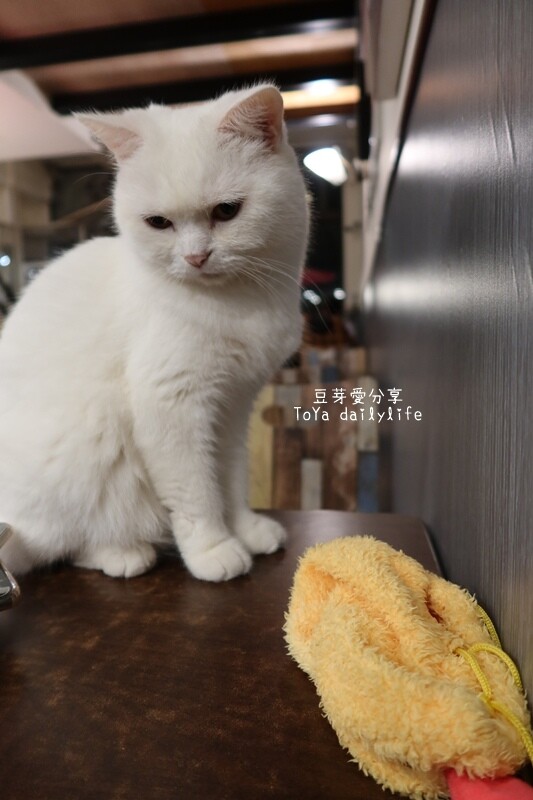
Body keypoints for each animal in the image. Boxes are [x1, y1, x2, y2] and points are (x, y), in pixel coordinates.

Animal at [0, 85, 309, 582]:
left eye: (227, 211)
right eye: (158, 223)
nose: (196, 258)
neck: (238, 304)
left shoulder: (233, 408)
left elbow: (231, 478)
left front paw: (246, 529)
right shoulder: (172, 404)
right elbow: (196, 491)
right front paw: (213, 549)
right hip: (86, 449)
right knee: (48, 547)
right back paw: (124, 554)